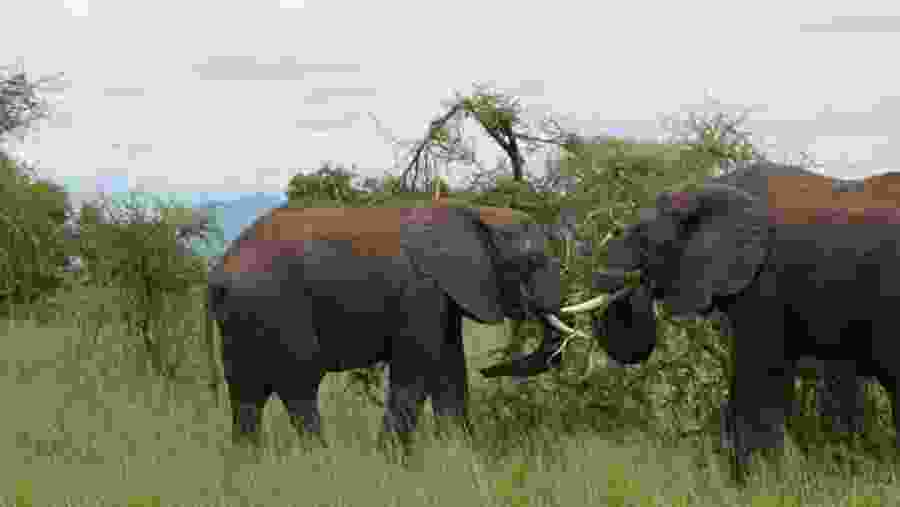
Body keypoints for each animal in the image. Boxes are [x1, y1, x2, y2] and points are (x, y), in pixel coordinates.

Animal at [205, 203, 568, 451]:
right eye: (532, 262)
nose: (490, 369)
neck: (473, 211)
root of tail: (217, 274)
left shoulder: (444, 297)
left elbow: (450, 371)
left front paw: (460, 455)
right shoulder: (420, 294)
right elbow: (416, 372)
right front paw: (392, 462)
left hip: (243, 320)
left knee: (247, 396)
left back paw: (247, 467)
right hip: (275, 309)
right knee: (299, 385)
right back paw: (321, 462)